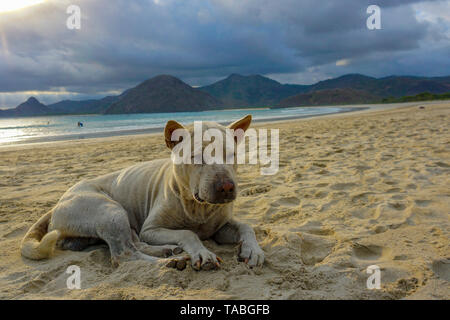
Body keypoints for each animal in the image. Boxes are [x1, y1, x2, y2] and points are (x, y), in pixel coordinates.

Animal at [22, 115, 264, 270]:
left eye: (232, 155)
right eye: (196, 157)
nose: (226, 187)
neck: (199, 207)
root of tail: (59, 202)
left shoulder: (220, 227)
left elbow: (245, 226)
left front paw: (253, 250)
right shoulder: (152, 228)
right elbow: (188, 233)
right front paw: (202, 253)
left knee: (132, 243)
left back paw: (168, 251)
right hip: (110, 211)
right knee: (123, 254)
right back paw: (167, 262)